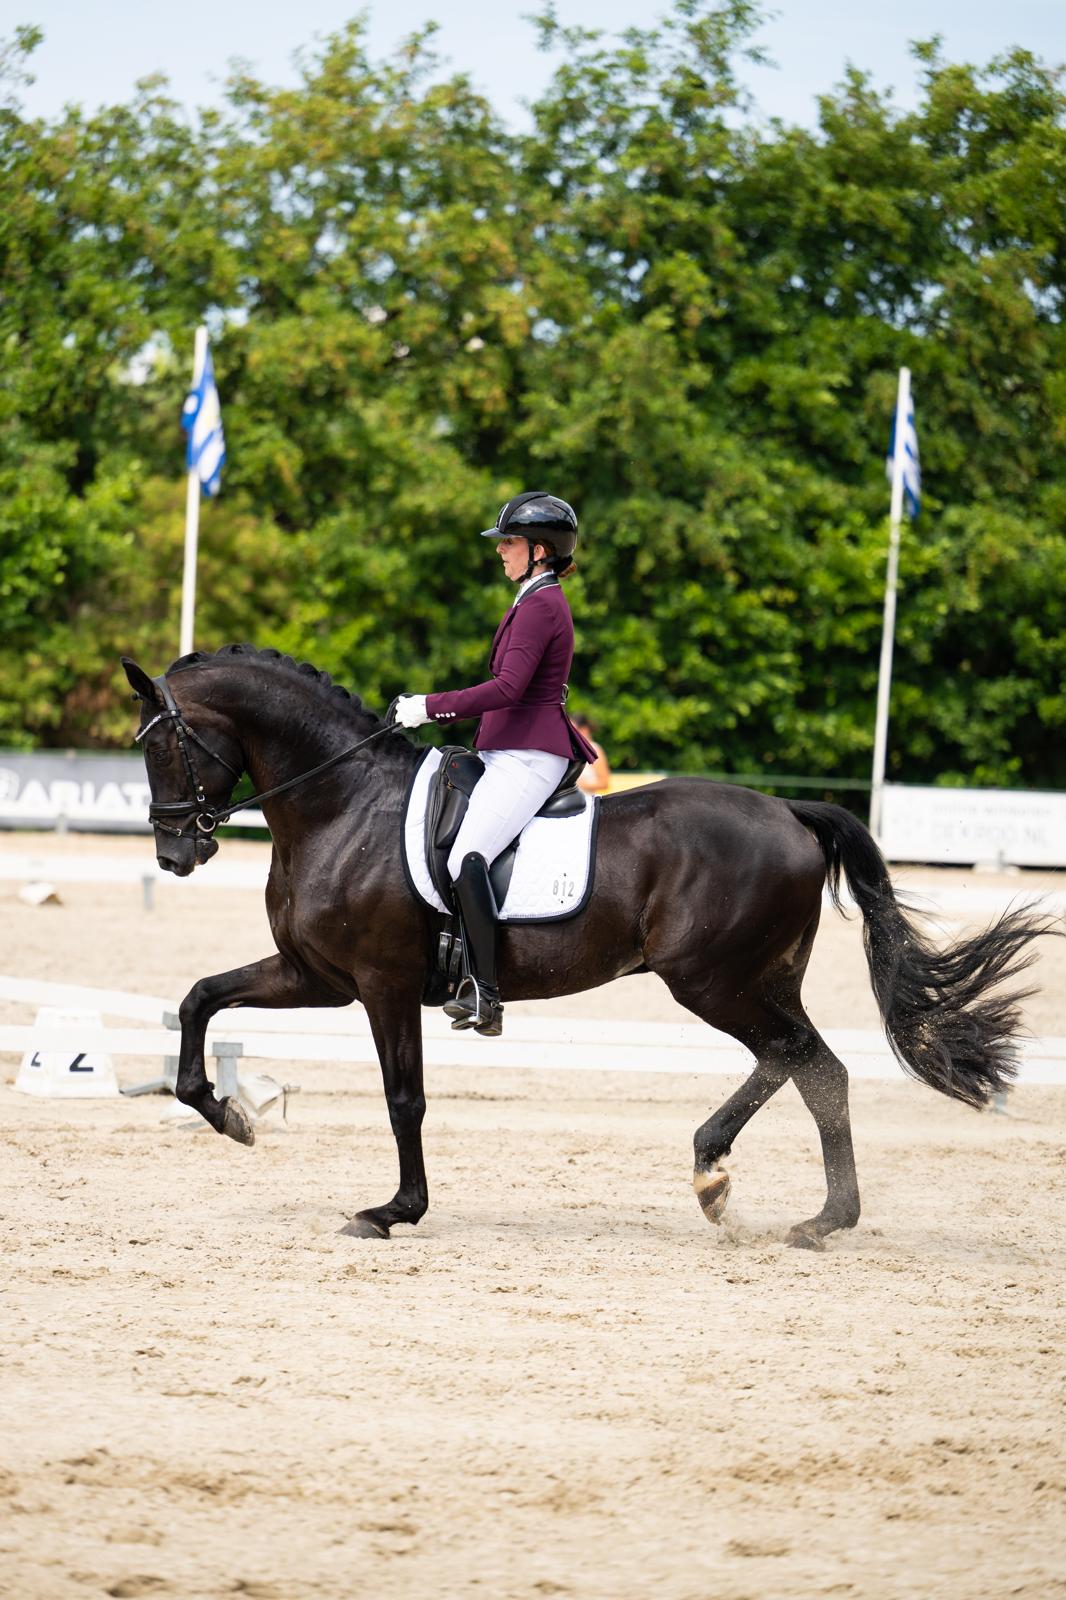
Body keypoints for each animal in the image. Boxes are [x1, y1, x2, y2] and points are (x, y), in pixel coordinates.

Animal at [122, 645, 1052, 1249]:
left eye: (164, 742)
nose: (175, 854)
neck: (343, 805)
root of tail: (791, 810)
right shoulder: (316, 974)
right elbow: (201, 997)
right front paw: (228, 1114)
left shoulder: (381, 984)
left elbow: (403, 1099)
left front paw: (393, 1211)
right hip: (756, 979)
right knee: (809, 1064)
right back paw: (776, 1200)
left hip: (711, 981)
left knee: (801, 1060)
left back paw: (760, 1191)